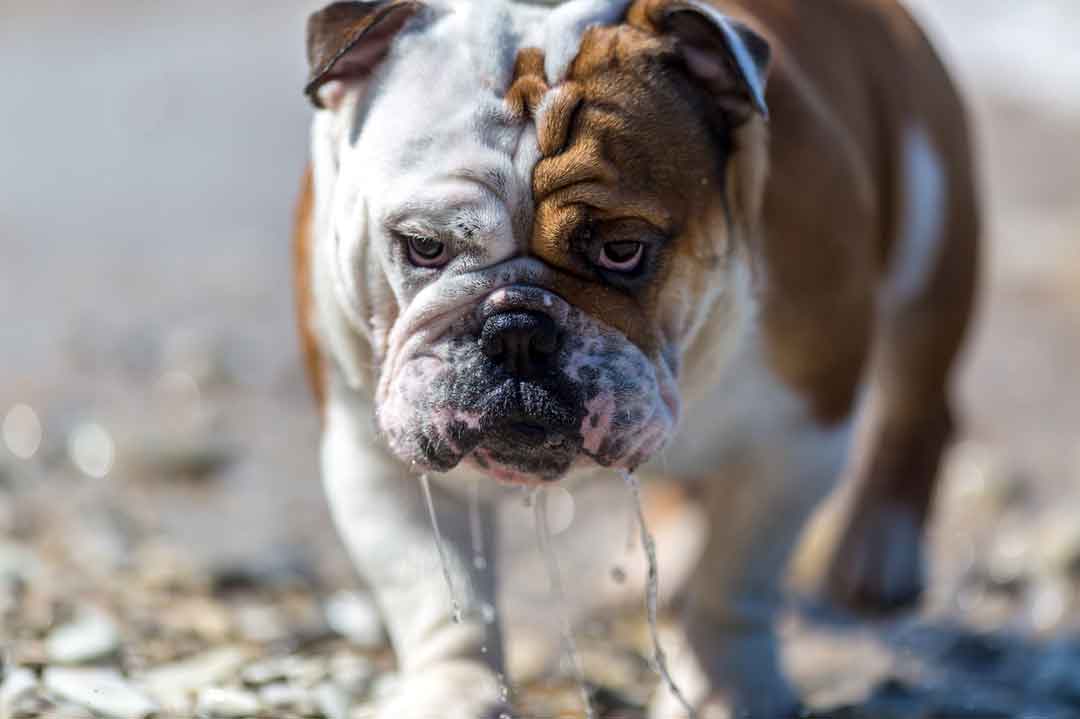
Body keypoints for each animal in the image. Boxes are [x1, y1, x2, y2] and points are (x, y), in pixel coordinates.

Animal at [293, 1, 980, 712]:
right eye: (424, 246)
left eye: (623, 250)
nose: (517, 329)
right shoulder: (372, 455)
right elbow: (438, 594)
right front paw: (455, 693)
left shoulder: (800, 434)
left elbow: (738, 580)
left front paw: (724, 687)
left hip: (929, 243)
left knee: (920, 402)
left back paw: (881, 549)